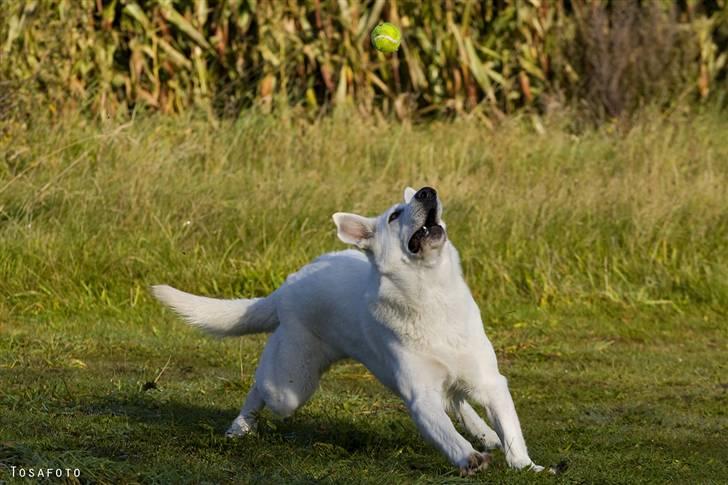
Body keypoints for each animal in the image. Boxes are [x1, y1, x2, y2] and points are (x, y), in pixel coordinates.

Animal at [156, 187, 548, 474]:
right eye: (394, 215)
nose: (427, 192)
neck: (432, 297)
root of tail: (287, 286)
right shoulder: (420, 398)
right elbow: (447, 434)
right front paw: (468, 458)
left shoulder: (491, 383)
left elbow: (511, 434)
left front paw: (528, 466)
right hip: (291, 388)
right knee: (259, 388)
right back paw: (240, 426)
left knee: (457, 400)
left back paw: (484, 432)